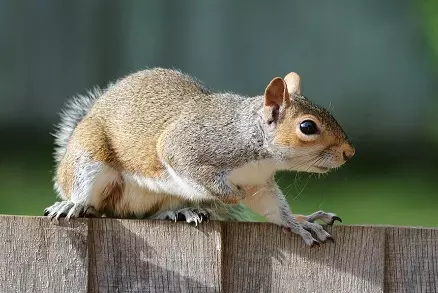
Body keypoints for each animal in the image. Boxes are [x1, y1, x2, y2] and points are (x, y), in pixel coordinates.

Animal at [43, 67, 356, 245]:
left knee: (148, 214)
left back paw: (180, 211)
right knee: (91, 198)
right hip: (89, 157)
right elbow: (192, 170)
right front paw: (231, 195)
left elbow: (272, 208)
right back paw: (73, 204)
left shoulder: (258, 182)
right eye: (307, 127)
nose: (349, 152)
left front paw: (299, 224)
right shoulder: (186, 147)